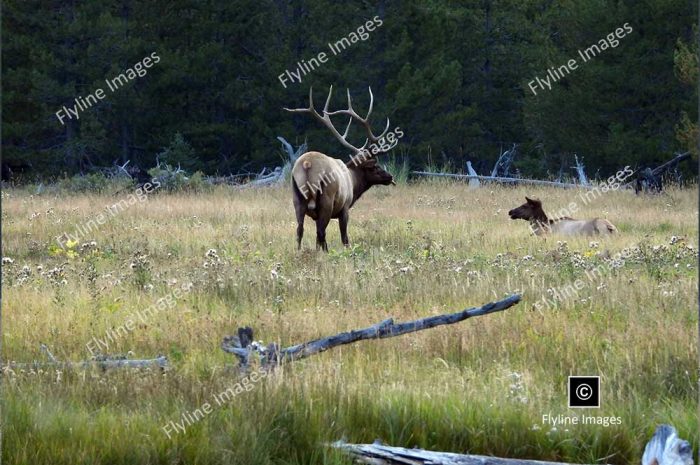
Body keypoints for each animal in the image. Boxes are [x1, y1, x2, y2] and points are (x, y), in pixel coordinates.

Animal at [284, 86, 402, 250]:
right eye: (374, 166)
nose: (390, 176)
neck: (353, 182)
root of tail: (307, 164)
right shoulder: (344, 207)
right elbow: (345, 237)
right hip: (327, 199)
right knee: (321, 232)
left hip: (297, 198)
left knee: (300, 231)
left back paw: (300, 251)